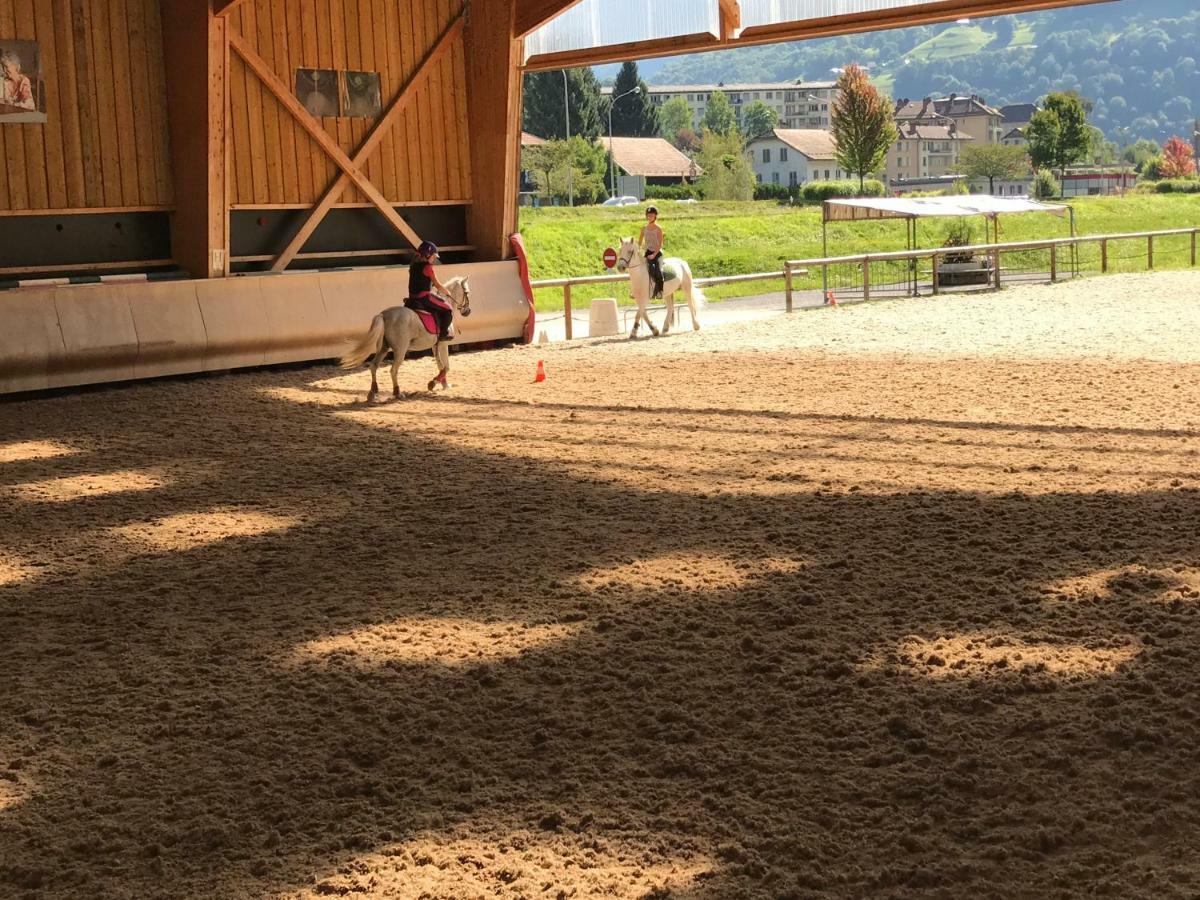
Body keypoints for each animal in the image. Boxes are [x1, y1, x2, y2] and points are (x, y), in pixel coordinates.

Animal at [340, 274, 470, 400]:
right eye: (467, 292)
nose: (467, 311)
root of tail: (384, 315)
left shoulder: (436, 345)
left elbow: (440, 365)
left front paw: (443, 384)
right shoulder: (443, 343)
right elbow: (446, 366)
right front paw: (434, 383)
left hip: (383, 348)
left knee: (373, 366)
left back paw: (373, 392)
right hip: (400, 350)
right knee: (393, 370)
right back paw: (398, 393)